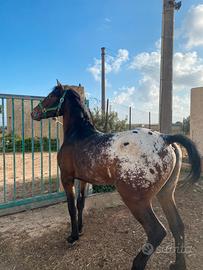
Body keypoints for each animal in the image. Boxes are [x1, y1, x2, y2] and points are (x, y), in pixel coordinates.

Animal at [30, 81, 201, 270]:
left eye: (52, 95)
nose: (33, 113)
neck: (78, 134)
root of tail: (165, 138)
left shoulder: (67, 178)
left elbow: (71, 207)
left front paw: (73, 237)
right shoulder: (83, 180)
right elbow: (80, 204)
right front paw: (80, 230)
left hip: (136, 200)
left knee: (157, 232)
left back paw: (137, 263)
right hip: (166, 194)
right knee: (177, 225)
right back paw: (178, 264)